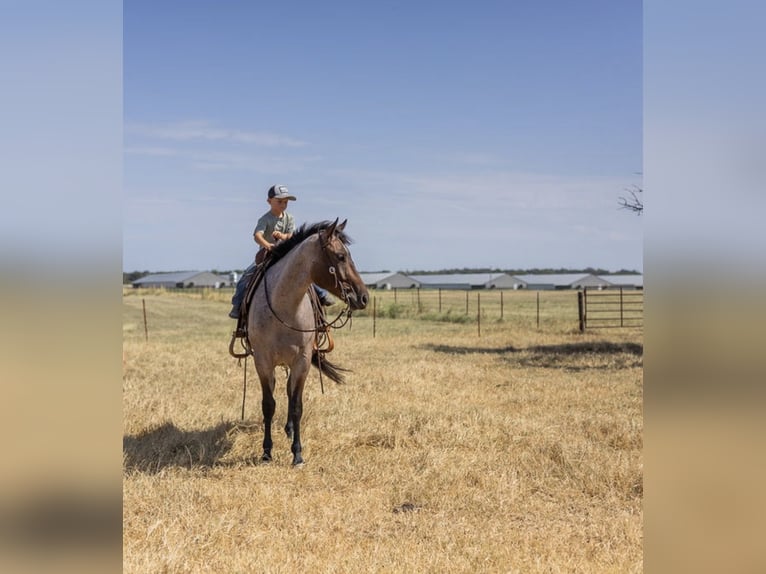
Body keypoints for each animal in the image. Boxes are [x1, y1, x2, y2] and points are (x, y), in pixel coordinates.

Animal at [246, 219, 369, 465]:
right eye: (341, 256)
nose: (364, 297)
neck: (283, 307)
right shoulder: (262, 362)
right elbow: (268, 405)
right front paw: (266, 452)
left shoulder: (302, 362)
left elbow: (297, 406)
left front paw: (297, 454)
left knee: (289, 392)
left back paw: (290, 429)